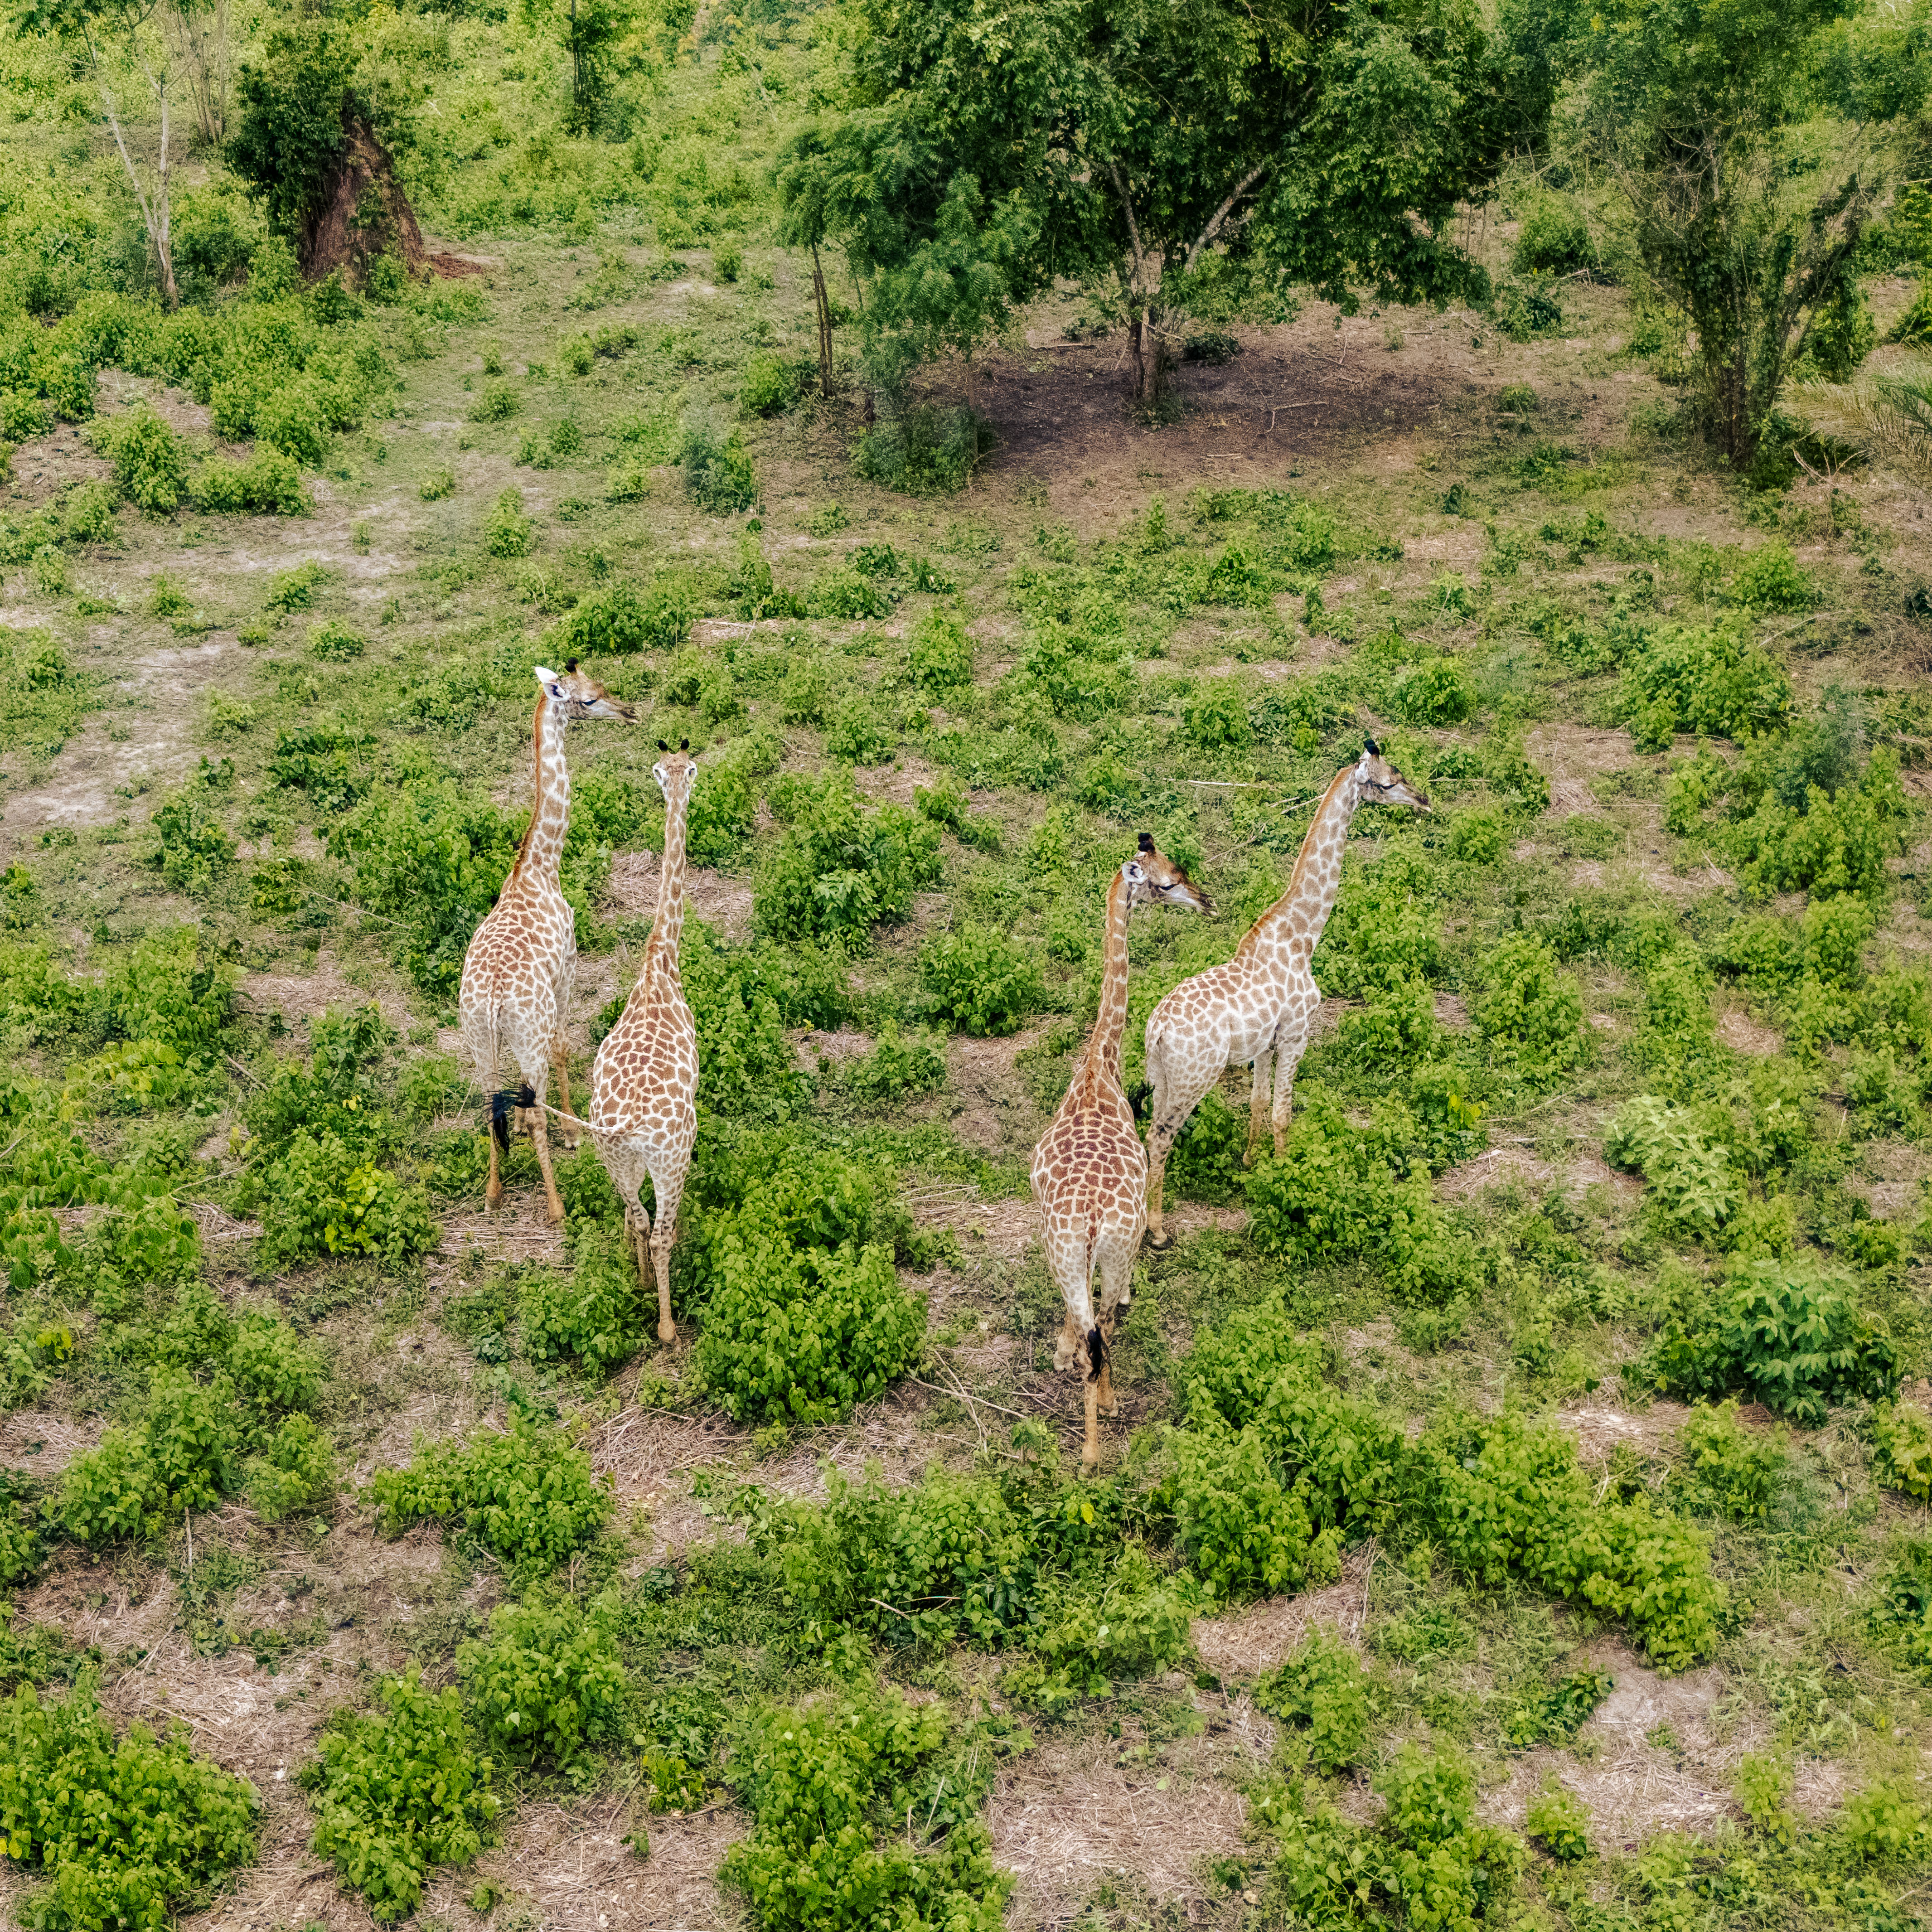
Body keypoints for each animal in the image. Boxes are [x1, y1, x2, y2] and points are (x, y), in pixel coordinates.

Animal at [460, 661, 637, 1226]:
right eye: (589, 699)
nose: (629, 711)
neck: (540, 867)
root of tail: (495, 1001)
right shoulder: (569, 968)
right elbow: (563, 1046)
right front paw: (574, 1131)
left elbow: (517, 1099)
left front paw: (520, 1126)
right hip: (524, 1028)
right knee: (533, 1095)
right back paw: (558, 1207)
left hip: (479, 1038)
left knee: (487, 1104)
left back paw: (493, 1196)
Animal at [1032, 835, 1211, 1465]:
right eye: (1167, 880)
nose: (1206, 902)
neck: (1097, 1066)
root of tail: (1089, 1219)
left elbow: (1074, 1320)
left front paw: (1059, 1353)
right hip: (1106, 1250)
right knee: (1105, 1325)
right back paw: (1101, 1428)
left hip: (1071, 1251)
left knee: (1095, 1325)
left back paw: (1088, 1448)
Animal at [1140, 738, 1429, 1248]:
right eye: (1388, 781)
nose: (1424, 800)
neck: (1302, 933)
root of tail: (1156, 1031)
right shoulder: (1297, 1033)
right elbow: (1283, 1112)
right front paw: (1284, 1172)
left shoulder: (1263, 1044)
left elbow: (1258, 1104)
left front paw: (1251, 1163)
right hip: (1194, 1077)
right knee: (1160, 1137)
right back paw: (1156, 1231)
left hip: (1160, 1077)